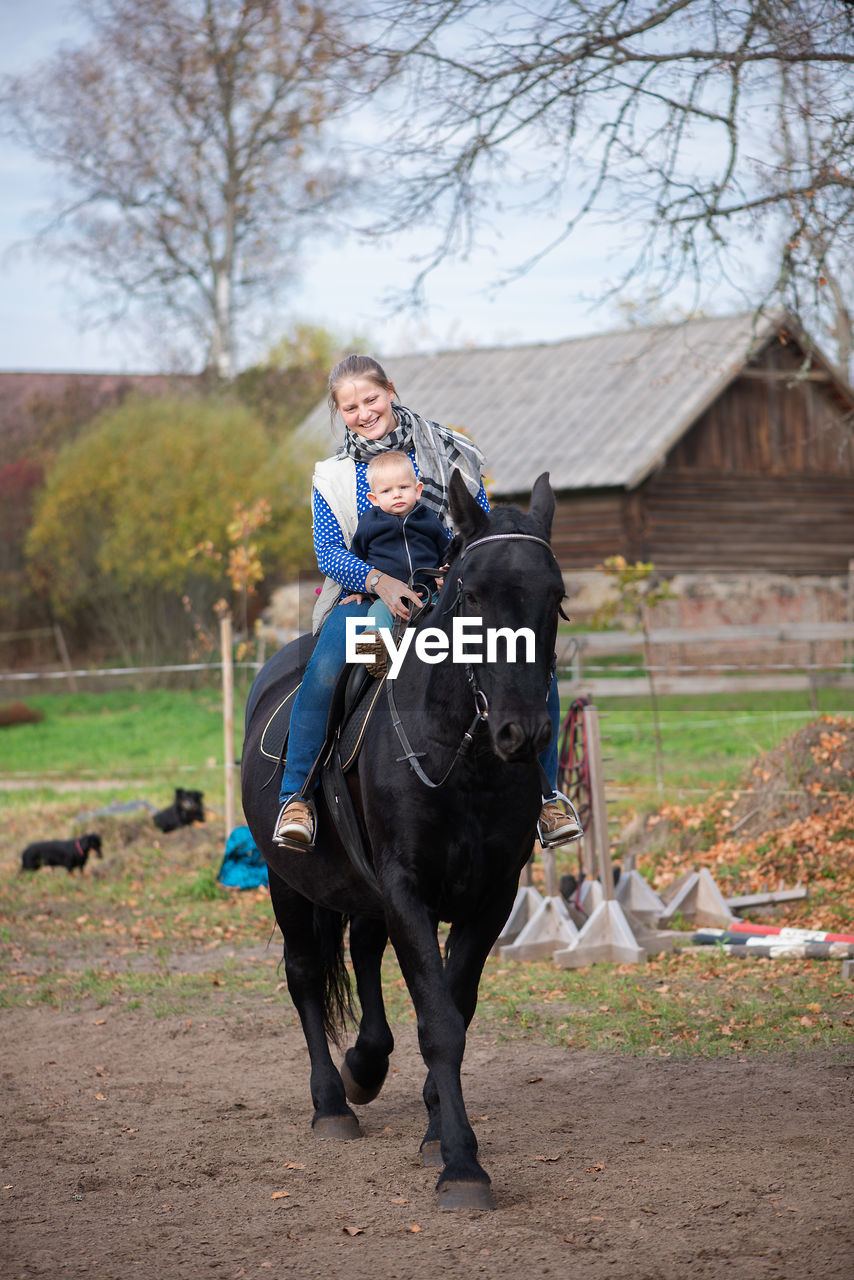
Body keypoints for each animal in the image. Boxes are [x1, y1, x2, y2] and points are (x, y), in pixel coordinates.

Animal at [240, 473, 563, 1208]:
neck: (461, 760)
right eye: (471, 596)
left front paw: (434, 1127)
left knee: (362, 951)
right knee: (305, 975)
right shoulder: (406, 888)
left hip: (361, 889)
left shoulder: (490, 898)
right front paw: (462, 1164)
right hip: (287, 882)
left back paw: (365, 1064)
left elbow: (455, 1006)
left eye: (556, 599)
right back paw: (332, 1101)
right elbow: (439, 1023)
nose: (522, 731)